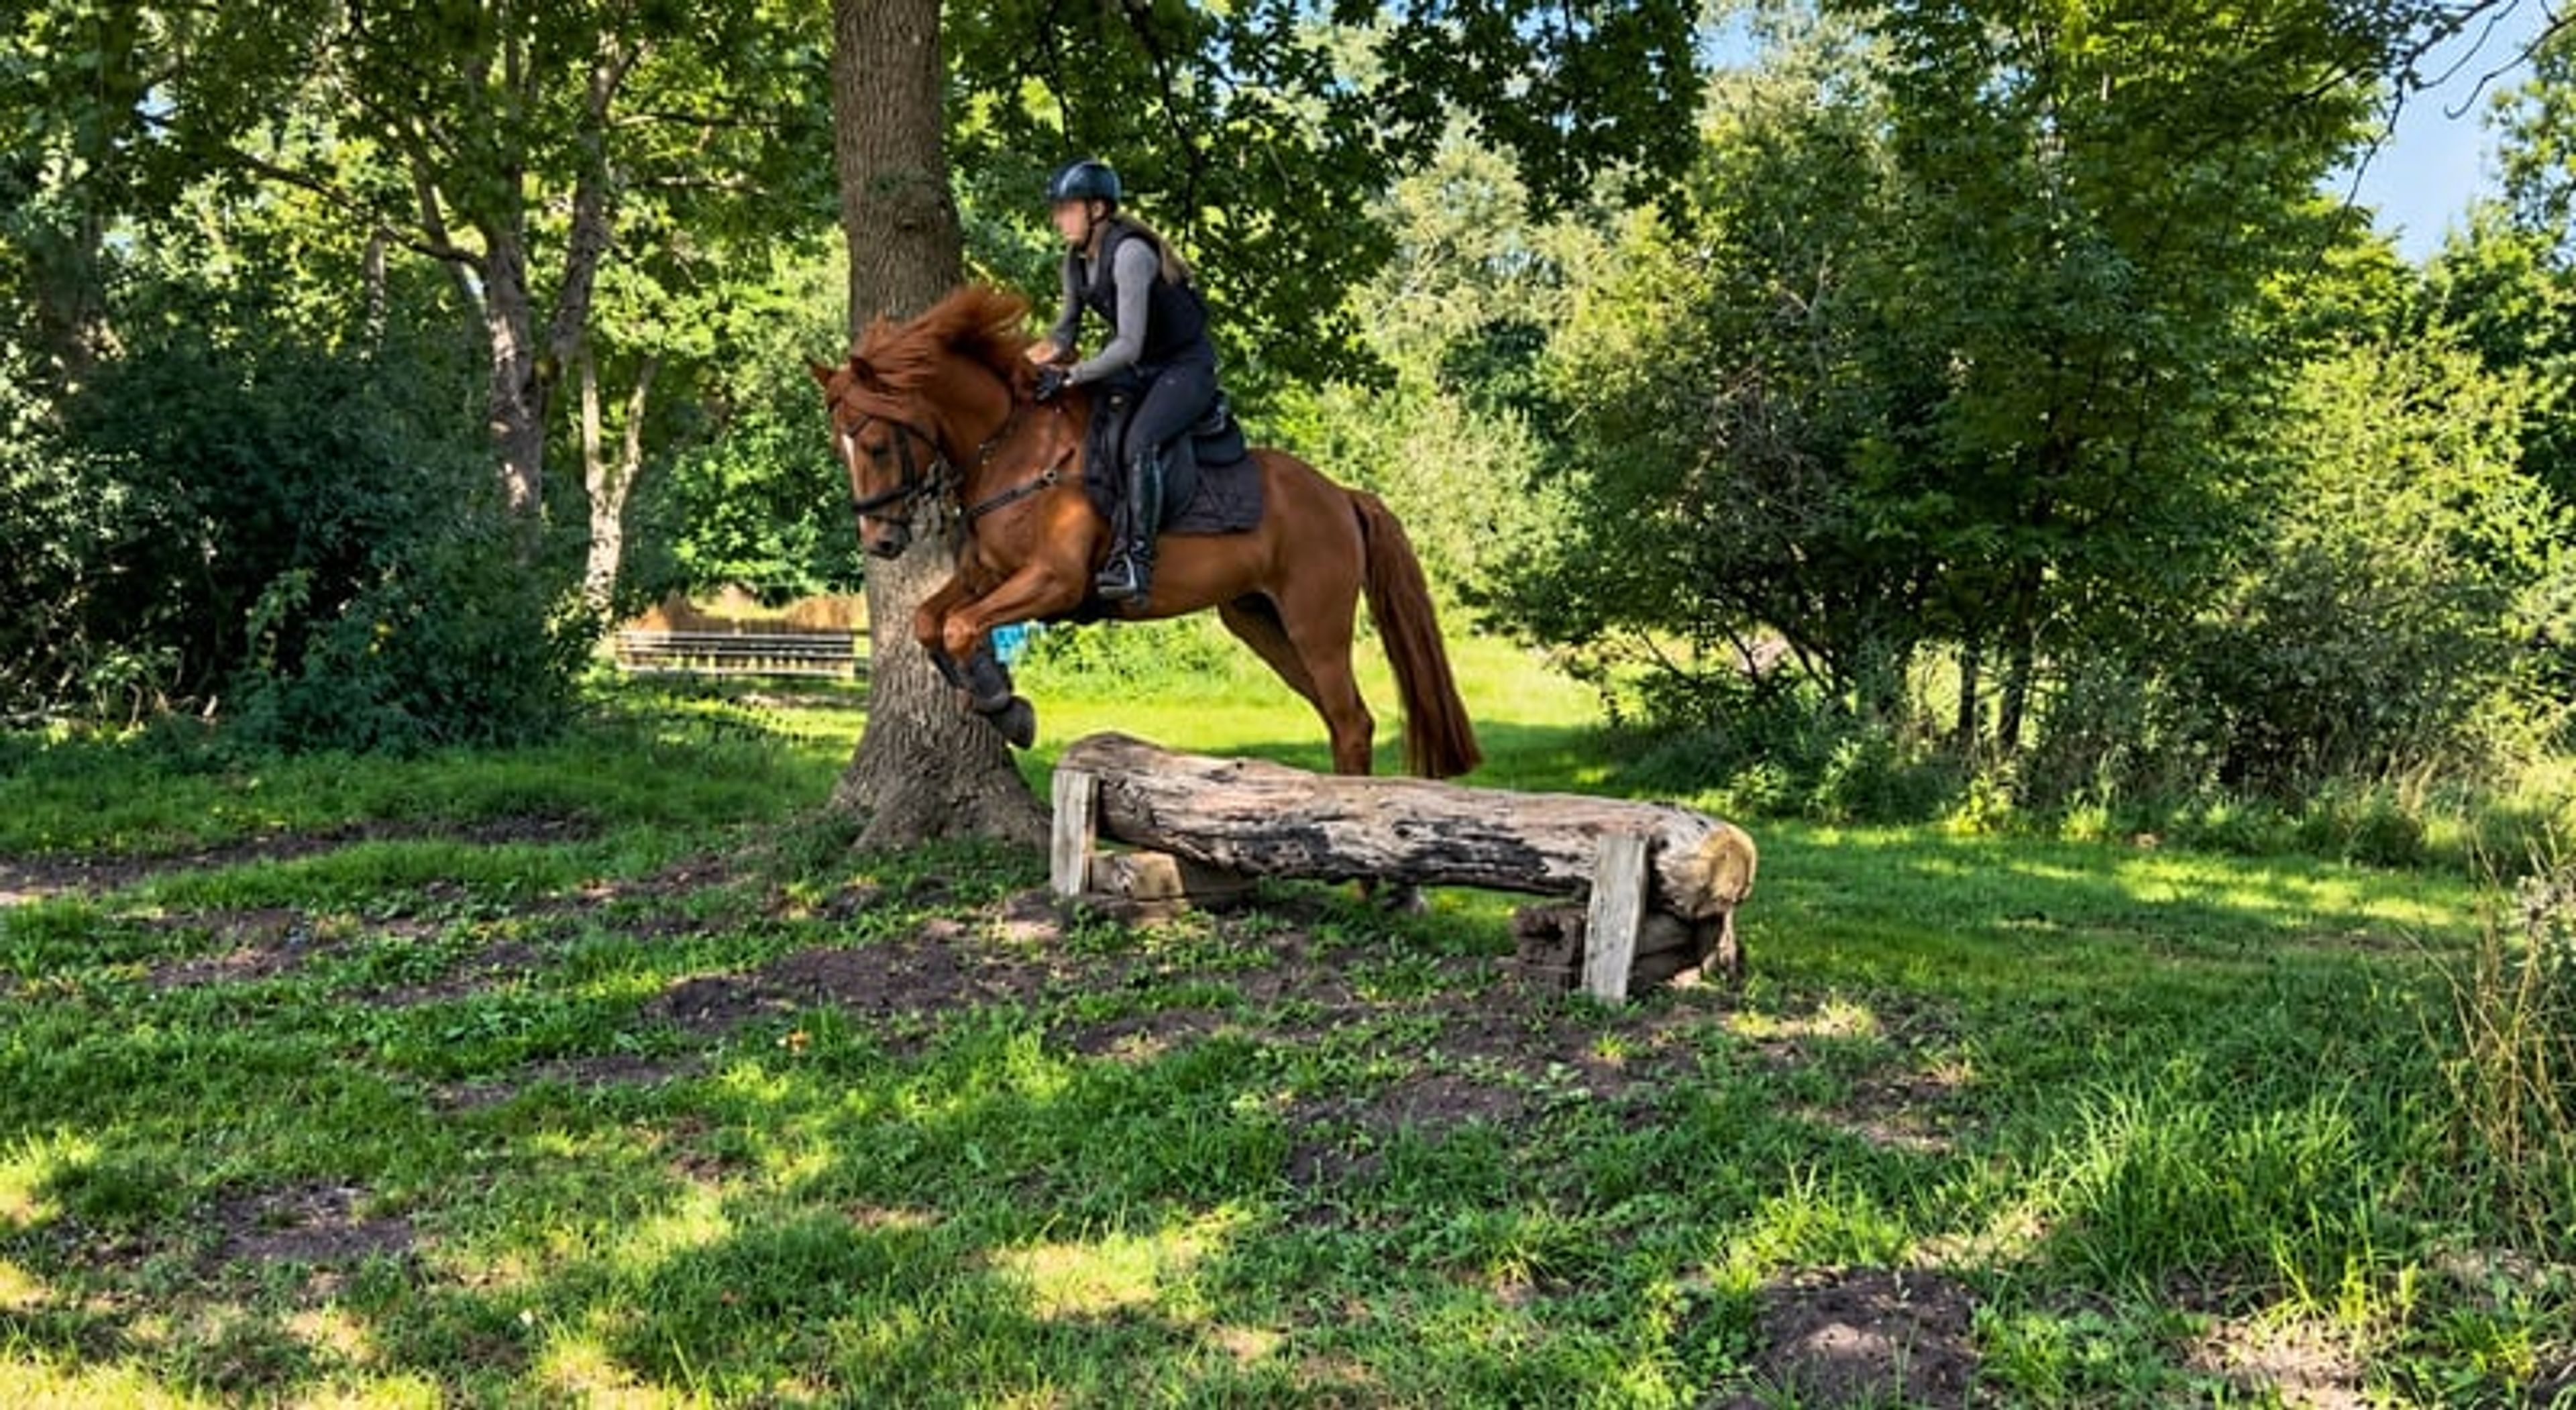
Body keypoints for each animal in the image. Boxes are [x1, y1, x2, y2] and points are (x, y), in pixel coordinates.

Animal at [812, 285, 1481, 781]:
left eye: (875, 445)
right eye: (838, 448)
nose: (881, 543)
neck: (1012, 447)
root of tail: (1341, 495)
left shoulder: (1053, 581)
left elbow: (956, 626)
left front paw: (1005, 706)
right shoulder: (988, 574)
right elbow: (931, 622)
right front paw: (997, 694)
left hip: (1315, 623)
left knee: (1351, 719)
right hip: (1261, 622)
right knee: (1343, 720)